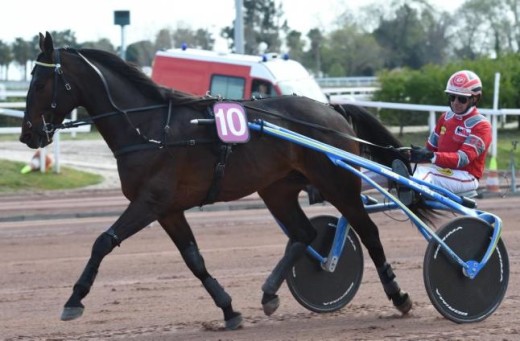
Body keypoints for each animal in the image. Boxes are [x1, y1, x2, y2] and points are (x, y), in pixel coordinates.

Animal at [19, 31, 434, 330]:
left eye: (39, 82)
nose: (27, 135)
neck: (150, 127)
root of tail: (331, 109)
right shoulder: (168, 209)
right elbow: (194, 260)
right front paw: (229, 309)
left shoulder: (149, 202)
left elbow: (103, 241)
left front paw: (73, 300)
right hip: (277, 189)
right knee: (304, 234)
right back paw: (269, 294)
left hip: (339, 183)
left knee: (368, 232)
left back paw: (399, 295)